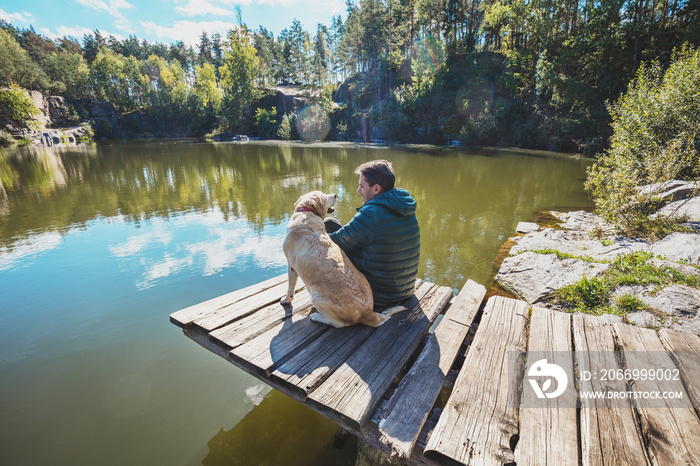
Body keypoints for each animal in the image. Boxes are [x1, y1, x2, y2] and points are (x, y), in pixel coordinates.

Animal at [280, 190, 404, 328]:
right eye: (325, 196)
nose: (335, 194)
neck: (306, 212)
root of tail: (368, 313)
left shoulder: (290, 265)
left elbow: (290, 288)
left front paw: (286, 300)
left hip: (316, 295)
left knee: (338, 323)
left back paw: (317, 316)